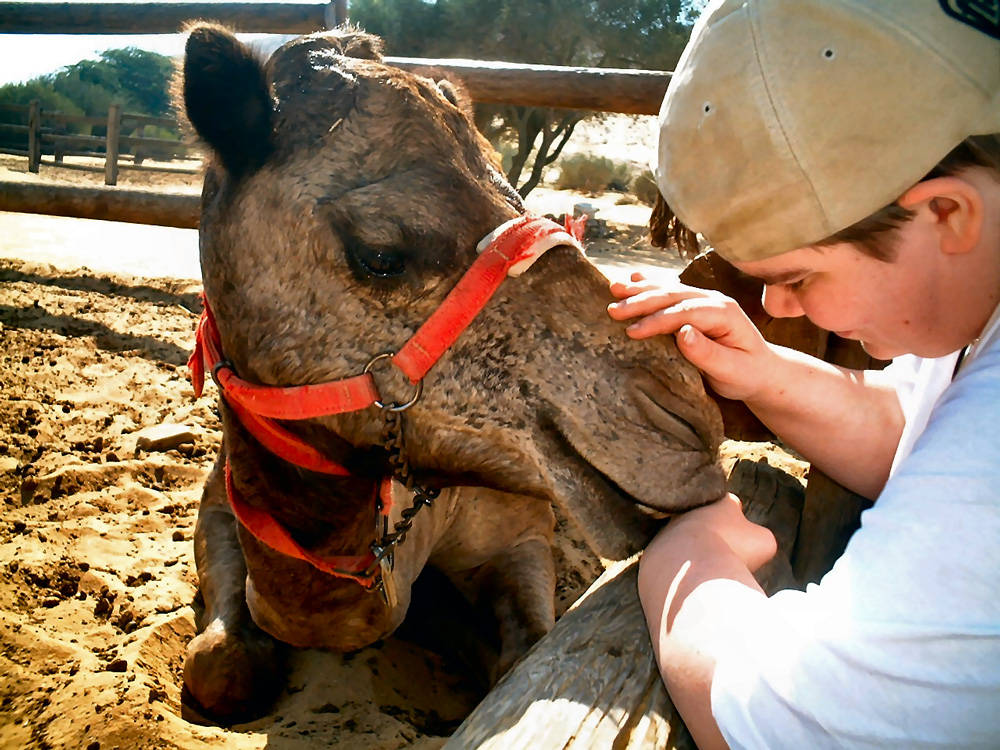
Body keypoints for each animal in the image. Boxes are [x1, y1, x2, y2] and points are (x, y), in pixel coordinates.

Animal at [180, 25, 728, 724]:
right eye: (380, 254)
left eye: (517, 199)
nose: (690, 421)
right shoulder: (217, 506)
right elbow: (217, 667)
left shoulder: (520, 530)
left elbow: (521, 658)